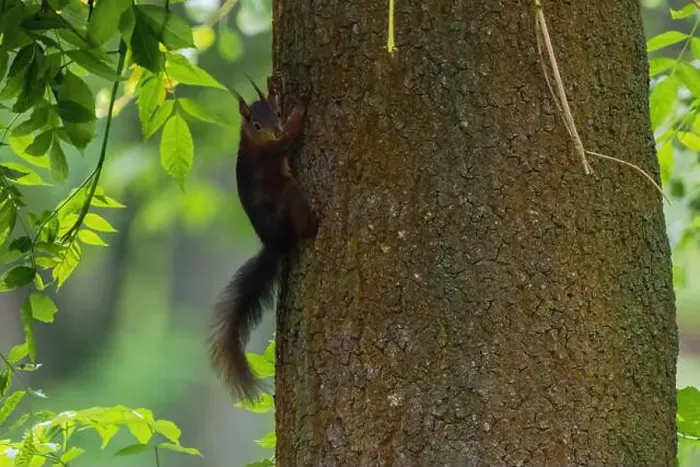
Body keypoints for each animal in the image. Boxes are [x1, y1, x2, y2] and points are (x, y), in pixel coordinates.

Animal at [210, 75, 318, 401]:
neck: (251, 142)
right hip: (289, 196)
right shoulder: (272, 151)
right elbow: (290, 138)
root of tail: (275, 242)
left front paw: (274, 87)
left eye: (276, 113)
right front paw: (302, 106)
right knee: (302, 228)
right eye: (257, 125)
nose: (277, 129)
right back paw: (313, 221)